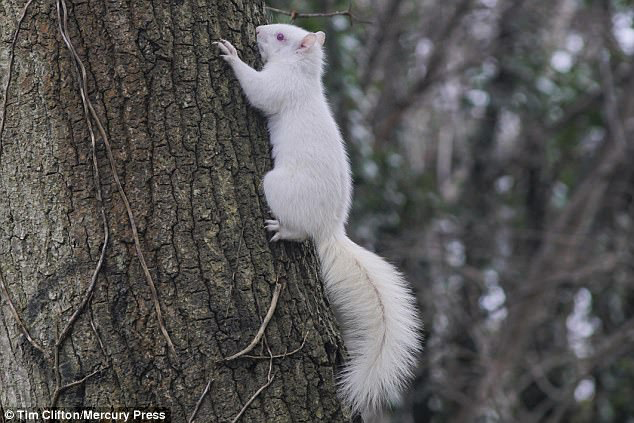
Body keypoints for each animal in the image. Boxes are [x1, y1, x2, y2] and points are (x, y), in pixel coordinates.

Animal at [215, 24, 422, 422]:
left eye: (281, 36)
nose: (259, 29)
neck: (303, 72)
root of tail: (330, 231)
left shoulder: (282, 86)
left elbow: (260, 92)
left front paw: (231, 54)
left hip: (277, 187)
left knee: (299, 231)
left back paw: (282, 230)